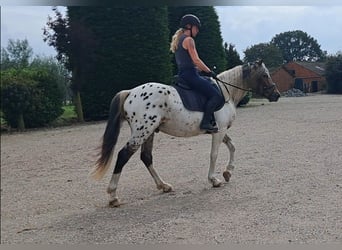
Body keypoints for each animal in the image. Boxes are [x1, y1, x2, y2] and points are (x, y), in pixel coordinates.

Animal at [91, 60, 280, 207]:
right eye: (265, 75)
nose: (276, 94)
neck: (226, 92)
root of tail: (130, 92)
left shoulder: (220, 130)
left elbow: (233, 147)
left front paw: (228, 172)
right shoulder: (219, 131)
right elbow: (214, 154)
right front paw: (214, 180)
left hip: (149, 132)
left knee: (146, 157)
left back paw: (164, 186)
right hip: (142, 131)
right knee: (124, 155)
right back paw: (113, 196)